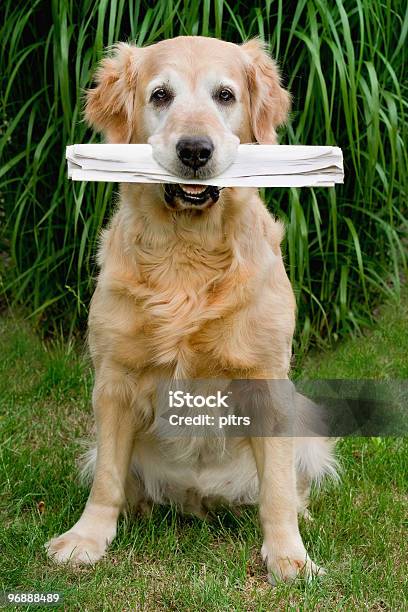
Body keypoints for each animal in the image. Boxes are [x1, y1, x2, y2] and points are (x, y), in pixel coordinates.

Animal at [46, 34, 336, 584]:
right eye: (161, 96)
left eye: (225, 95)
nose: (195, 150)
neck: (187, 252)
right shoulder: (113, 381)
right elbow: (107, 481)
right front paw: (87, 540)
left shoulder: (268, 380)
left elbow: (277, 489)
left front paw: (289, 556)